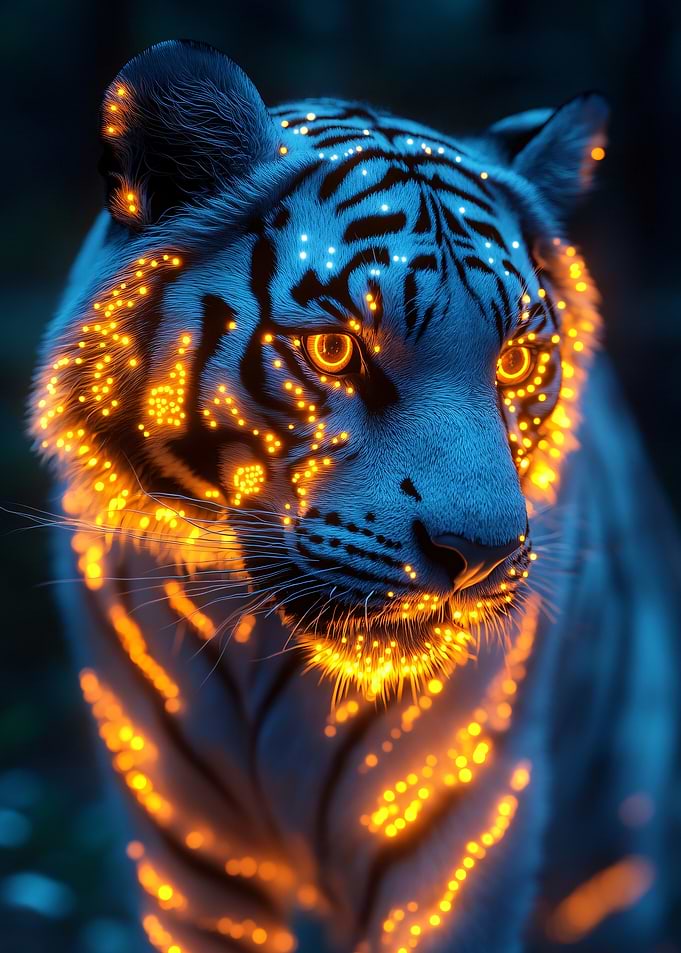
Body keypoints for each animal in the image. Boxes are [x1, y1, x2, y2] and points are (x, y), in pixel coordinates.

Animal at [31, 38, 680, 953]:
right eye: (335, 351)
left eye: (515, 362)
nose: (478, 556)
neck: (257, 650)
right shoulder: (183, 849)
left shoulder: (453, 839)